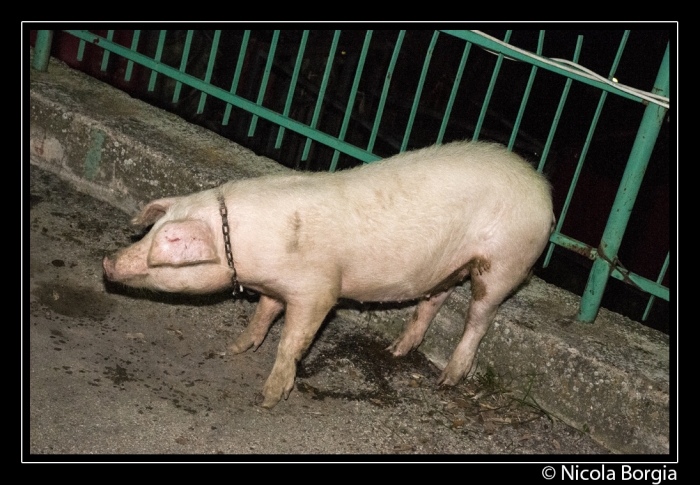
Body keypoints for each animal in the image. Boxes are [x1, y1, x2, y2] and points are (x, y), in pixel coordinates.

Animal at [102, 141, 552, 408]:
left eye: (171, 244)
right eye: (153, 232)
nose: (107, 262)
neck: (250, 249)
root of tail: (543, 191)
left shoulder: (317, 289)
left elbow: (293, 341)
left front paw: (269, 398)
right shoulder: (277, 286)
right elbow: (264, 312)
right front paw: (235, 348)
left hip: (505, 261)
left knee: (479, 317)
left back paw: (446, 381)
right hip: (447, 267)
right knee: (434, 299)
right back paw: (395, 351)